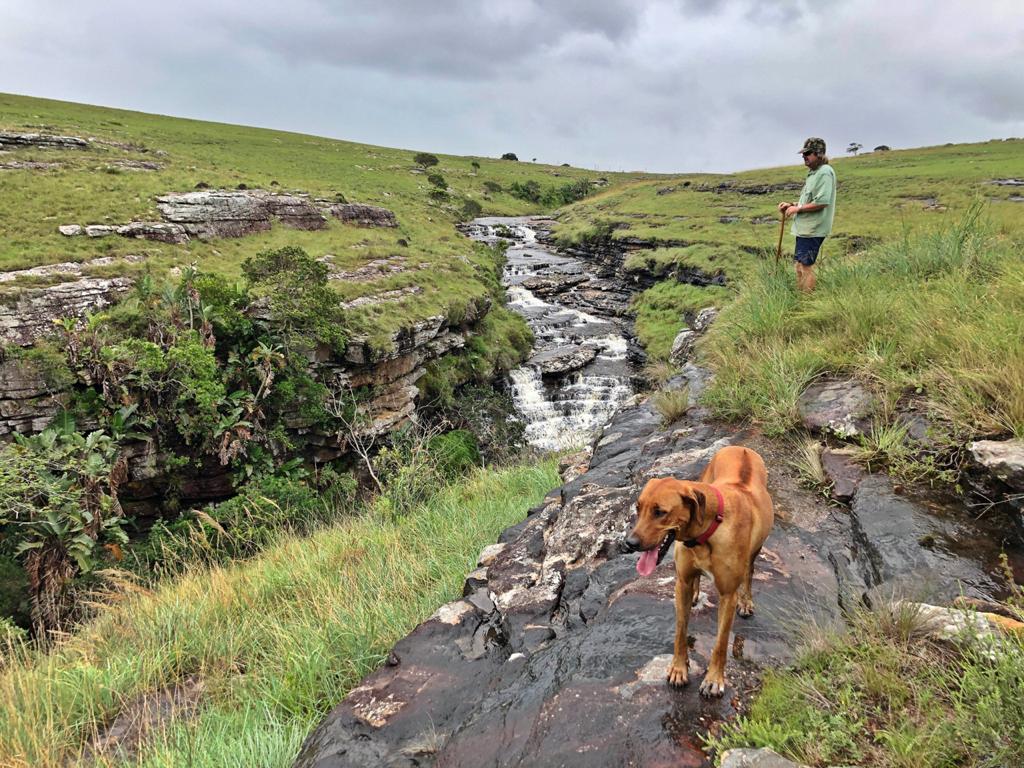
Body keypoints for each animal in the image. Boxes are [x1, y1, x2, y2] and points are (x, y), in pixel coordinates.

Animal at [622, 444, 774, 696]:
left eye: (660, 512)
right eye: (638, 507)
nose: (629, 543)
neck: (707, 531)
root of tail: (740, 448)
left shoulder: (727, 595)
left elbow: (721, 643)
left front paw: (713, 679)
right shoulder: (681, 582)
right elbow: (680, 631)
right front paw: (678, 669)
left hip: (756, 548)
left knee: (749, 572)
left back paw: (746, 600)